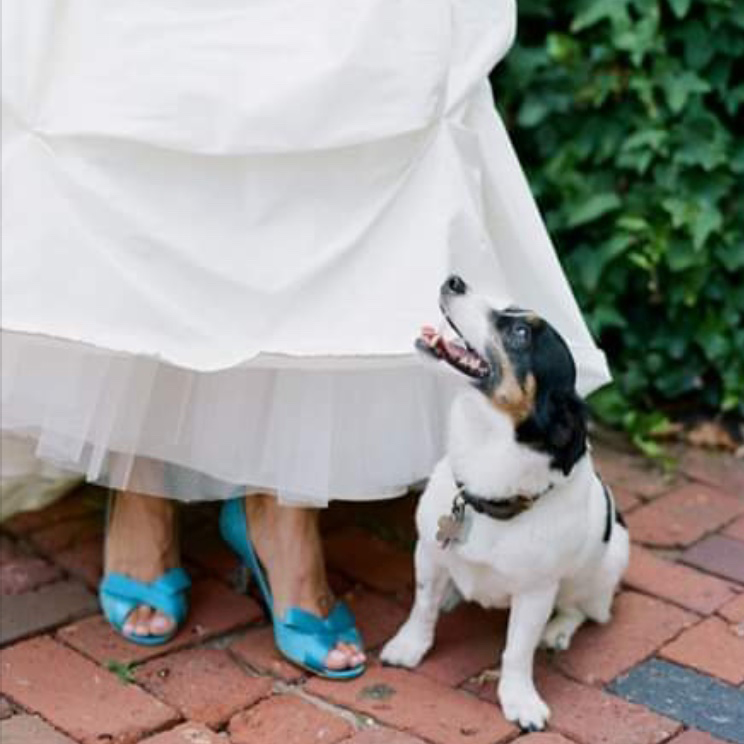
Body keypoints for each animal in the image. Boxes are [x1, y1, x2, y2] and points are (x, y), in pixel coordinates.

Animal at [380, 276, 632, 728]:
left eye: (519, 334)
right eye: (512, 311)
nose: (454, 279)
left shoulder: (535, 593)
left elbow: (517, 650)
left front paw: (519, 700)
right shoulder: (428, 552)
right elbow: (421, 606)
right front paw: (409, 646)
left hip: (604, 567)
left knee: (584, 611)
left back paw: (557, 632)